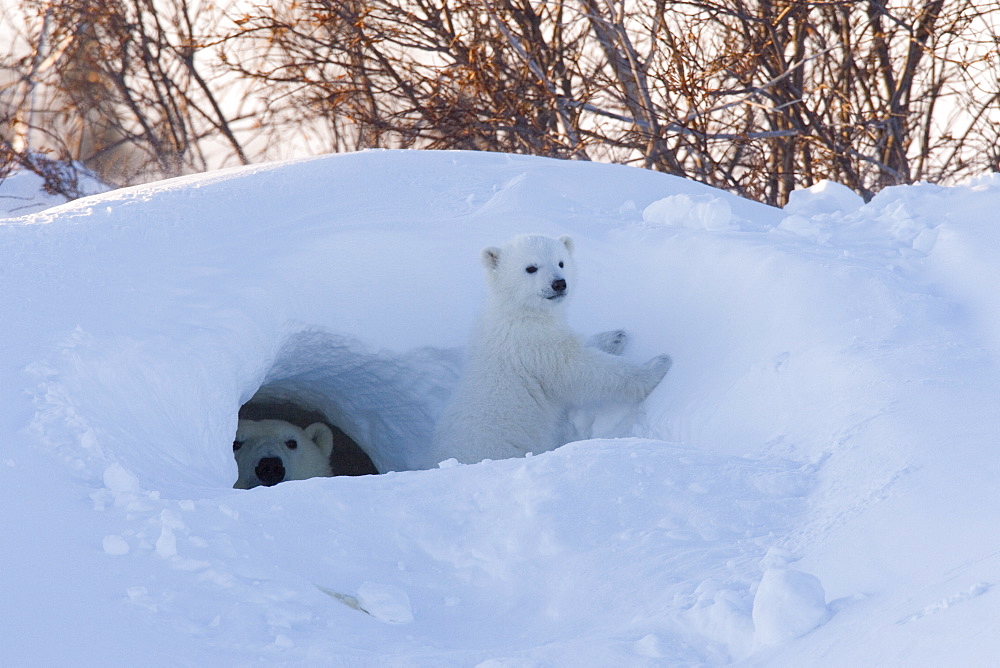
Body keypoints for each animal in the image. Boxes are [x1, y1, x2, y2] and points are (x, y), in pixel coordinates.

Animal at [430, 235, 672, 464]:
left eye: (561, 262)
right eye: (531, 267)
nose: (559, 283)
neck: (517, 313)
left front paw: (616, 337)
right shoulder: (533, 346)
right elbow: (580, 367)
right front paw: (658, 364)